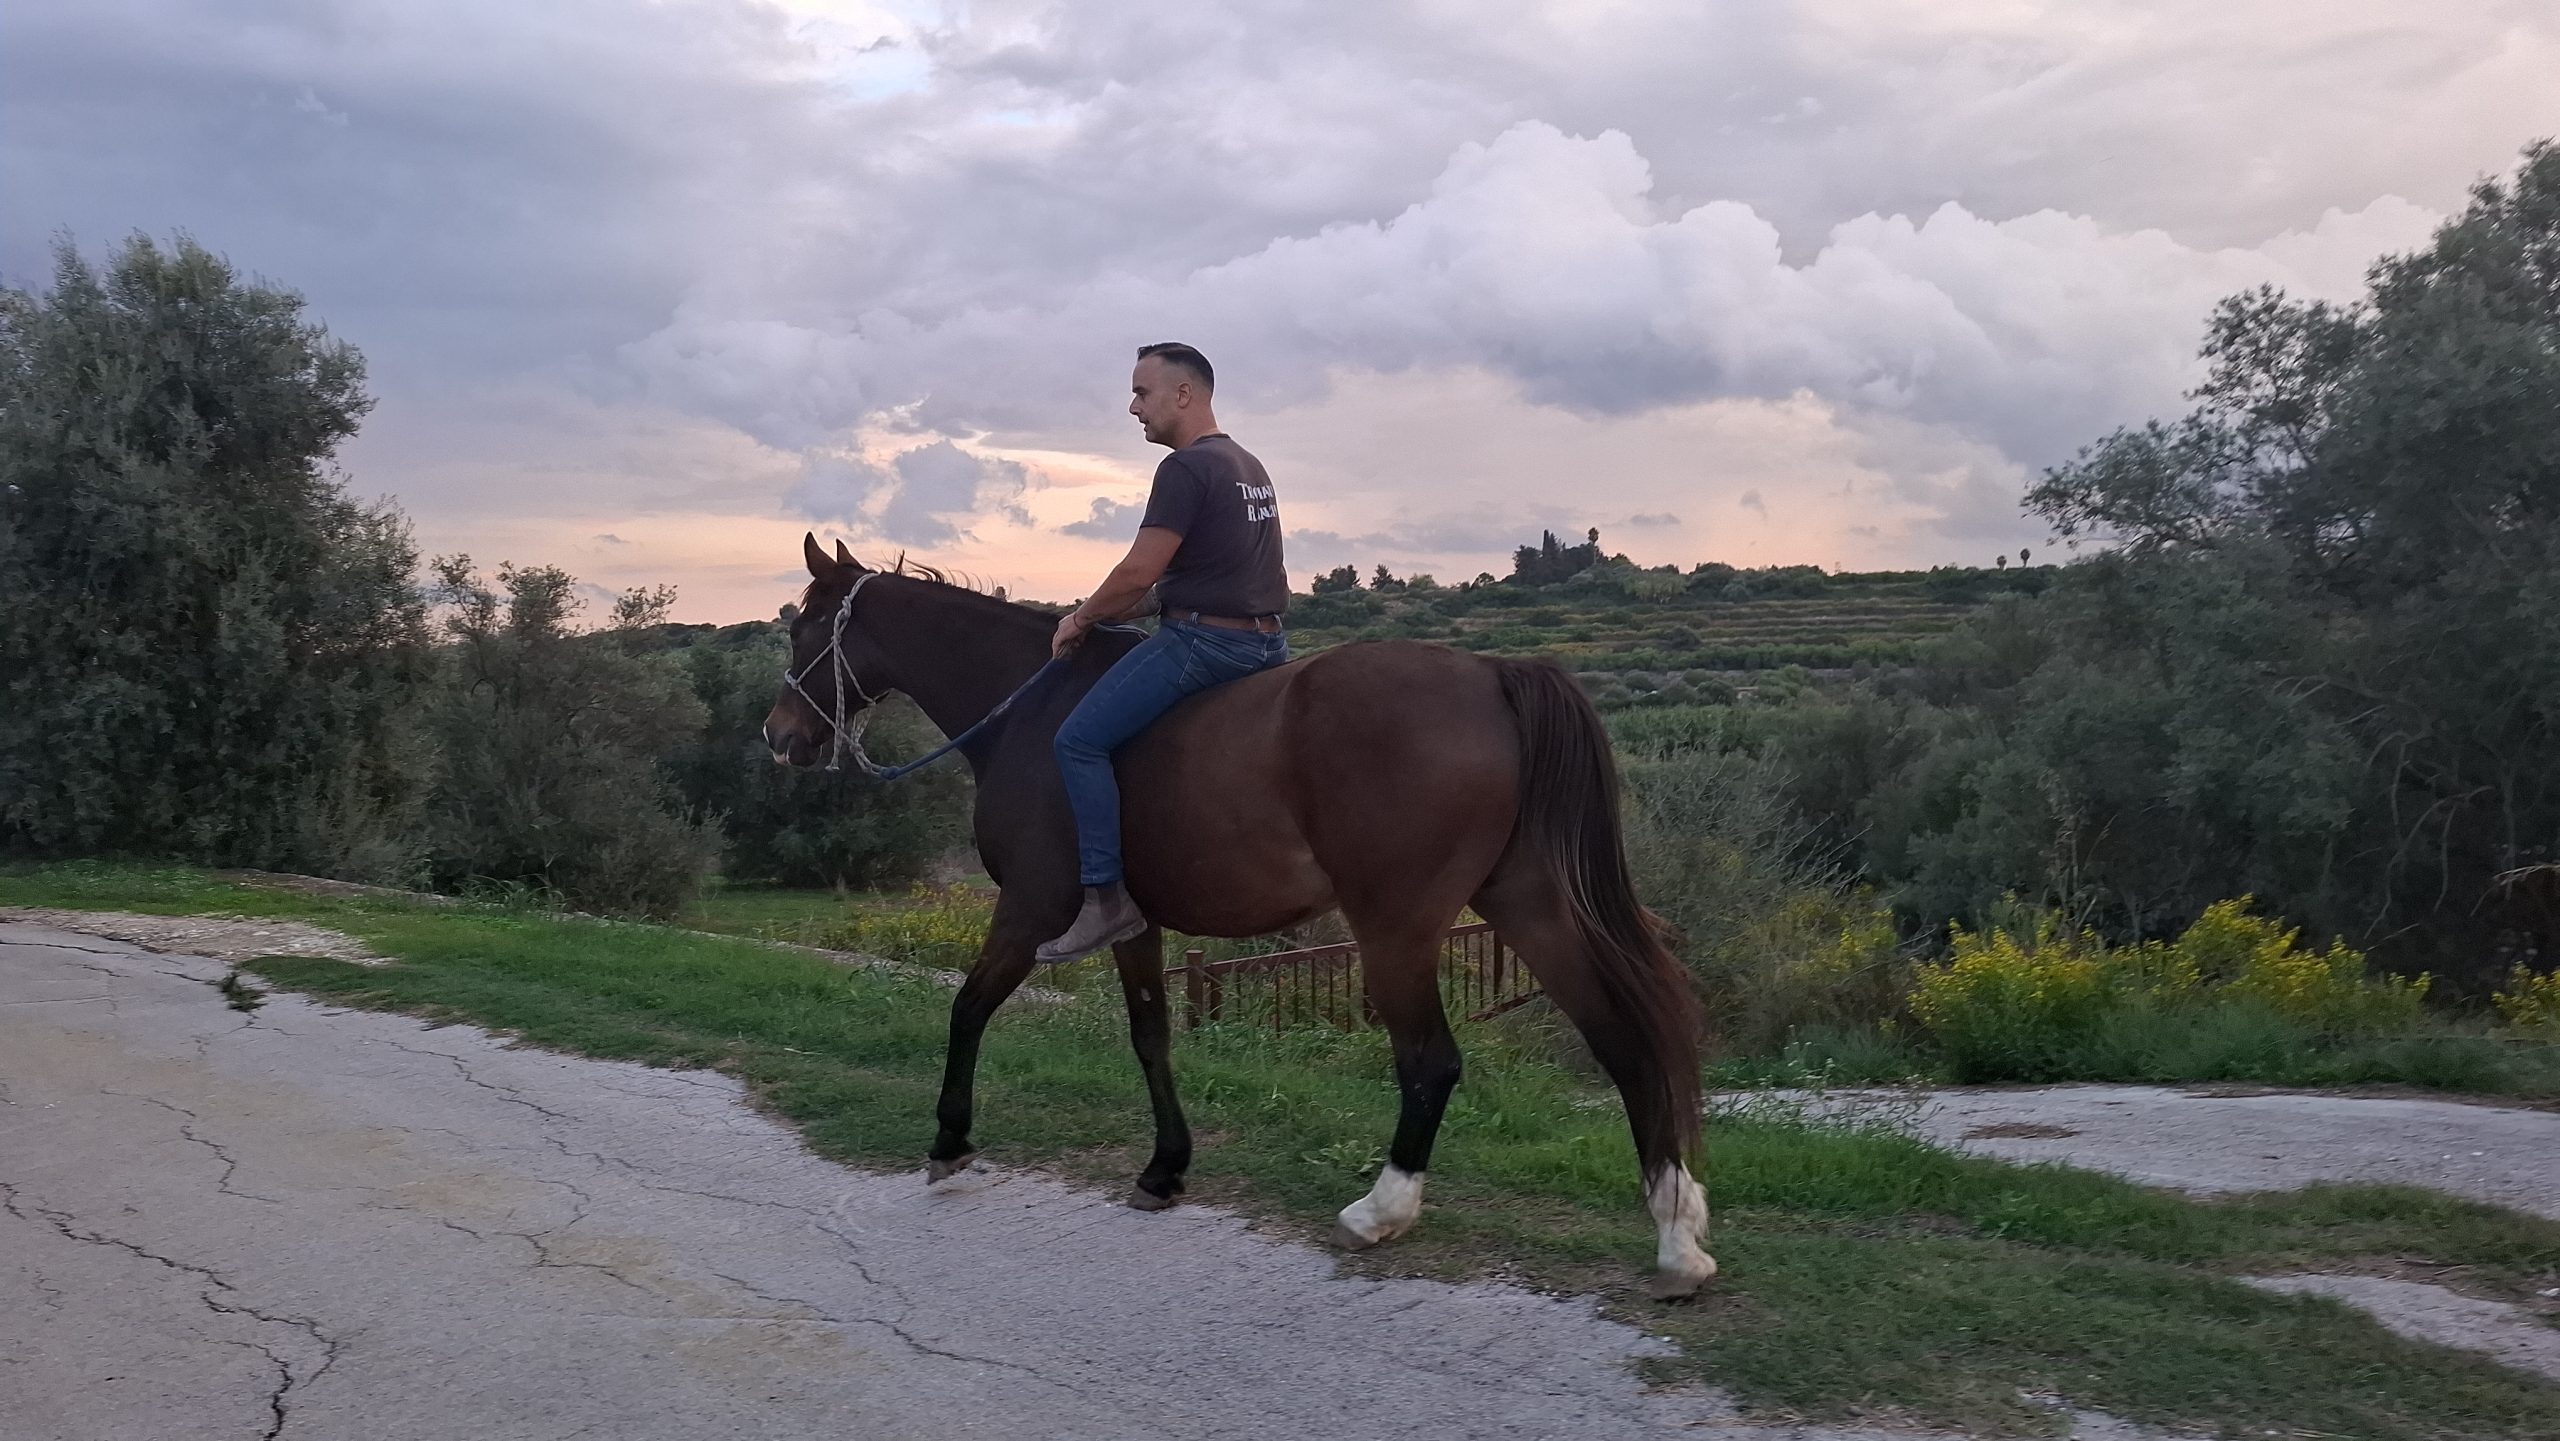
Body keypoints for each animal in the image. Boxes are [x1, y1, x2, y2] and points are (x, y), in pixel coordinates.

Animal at [762, 535, 1715, 1297]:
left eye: (802, 630)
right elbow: (1151, 1034)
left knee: (1432, 1062)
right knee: (1621, 1035)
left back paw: (1382, 1208)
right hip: (1527, 901)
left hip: (1396, 927)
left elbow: (967, 1006)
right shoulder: (1132, 923)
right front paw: (1165, 1167)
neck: (1027, 708)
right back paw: (1677, 1232)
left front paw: (950, 1138)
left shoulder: (1031, 906)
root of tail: (1490, 674)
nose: (778, 736)